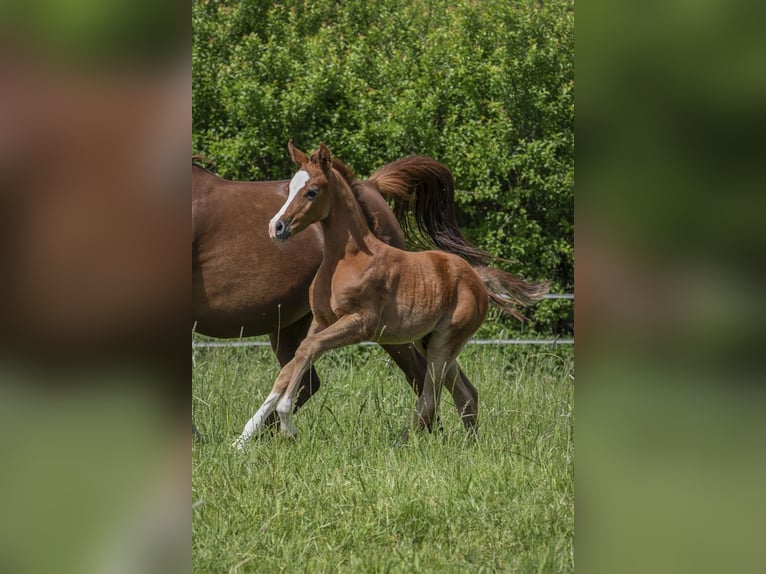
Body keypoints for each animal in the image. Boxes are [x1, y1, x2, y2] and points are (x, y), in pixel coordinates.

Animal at [234, 142, 544, 448]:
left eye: (312, 191)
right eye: (289, 189)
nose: (276, 227)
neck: (347, 259)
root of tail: (477, 278)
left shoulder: (360, 323)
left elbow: (308, 350)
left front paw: (287, 422)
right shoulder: (321, 322)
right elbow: (292, 363)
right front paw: (243, 437)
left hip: (444, 343)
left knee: (430, 398)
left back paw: (402, 446)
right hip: (429, 341)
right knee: (466, 393)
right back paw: (470, 445)